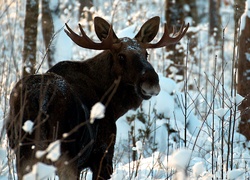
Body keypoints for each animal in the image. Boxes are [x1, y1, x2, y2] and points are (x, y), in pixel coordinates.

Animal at [5, 16, 188, 179]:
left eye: (147, 53)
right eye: (121, 56)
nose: (151, 82)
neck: (114, 105)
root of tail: (40, 100)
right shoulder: (103, 154)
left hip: (25, 152)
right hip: (65, 154)